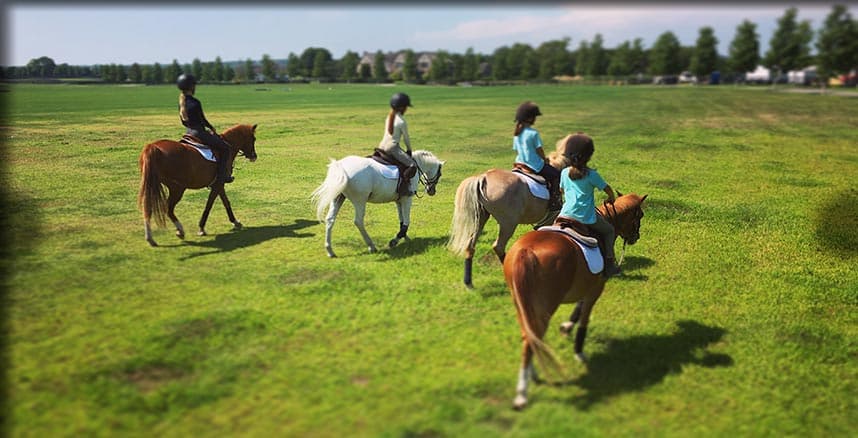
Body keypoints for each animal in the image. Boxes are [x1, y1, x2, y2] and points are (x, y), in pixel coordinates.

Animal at [311, 149, 444, 258]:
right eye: (440, 174)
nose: (432, 191)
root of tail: (342, 167)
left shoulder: (399, 200)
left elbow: (402, 220)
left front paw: (404, 237)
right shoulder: (407, 199)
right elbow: (406, 221)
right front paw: (395, 240)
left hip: (338, 198)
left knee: (330, 219)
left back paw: (330, 251)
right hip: (360, 201)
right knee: (358, 221)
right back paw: (371, 246)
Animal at [448, 133, 584, 288]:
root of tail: (483, 177)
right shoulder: (550, 218)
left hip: (480, 219)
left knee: (470, 246)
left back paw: (469, 282)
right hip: (508, 223)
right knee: (498, 246)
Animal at [502, 193, 648, 409]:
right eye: (640, 215)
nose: (635, 237)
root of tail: (524, 253)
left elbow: (578, 308)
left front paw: (566, 327)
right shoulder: (596, 287)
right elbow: (583, 316)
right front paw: (578, 350)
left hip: (521, 302)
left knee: (529, 336)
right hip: (545, 306)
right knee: (531, 339)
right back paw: (522, 392)